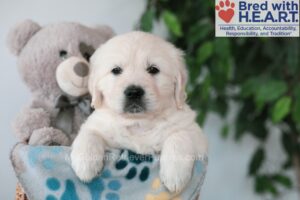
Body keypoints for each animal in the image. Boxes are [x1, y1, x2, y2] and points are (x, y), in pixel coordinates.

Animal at [71, 31, 207, 192]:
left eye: (153, 69)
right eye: (116, 70)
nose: (134, 92)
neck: (138, 122)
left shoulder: (196, 135)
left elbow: (179, 136)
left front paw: (175, 175)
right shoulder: (98, 125)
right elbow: (89, 134)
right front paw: (85, 165)